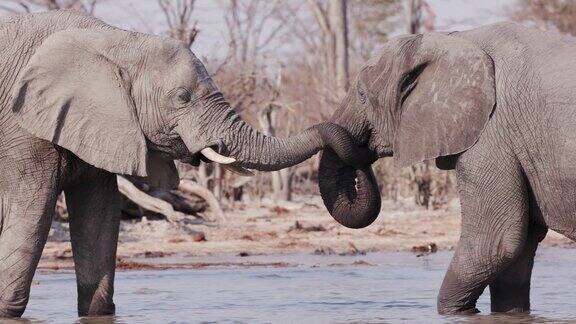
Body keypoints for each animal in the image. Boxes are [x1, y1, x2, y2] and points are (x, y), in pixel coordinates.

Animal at [318, 21, 576, 316]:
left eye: (361, 95)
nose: (360, 151)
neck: (452, 40)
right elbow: (517, 253)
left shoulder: (491, 133)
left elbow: (494, 242)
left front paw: (457, 314)